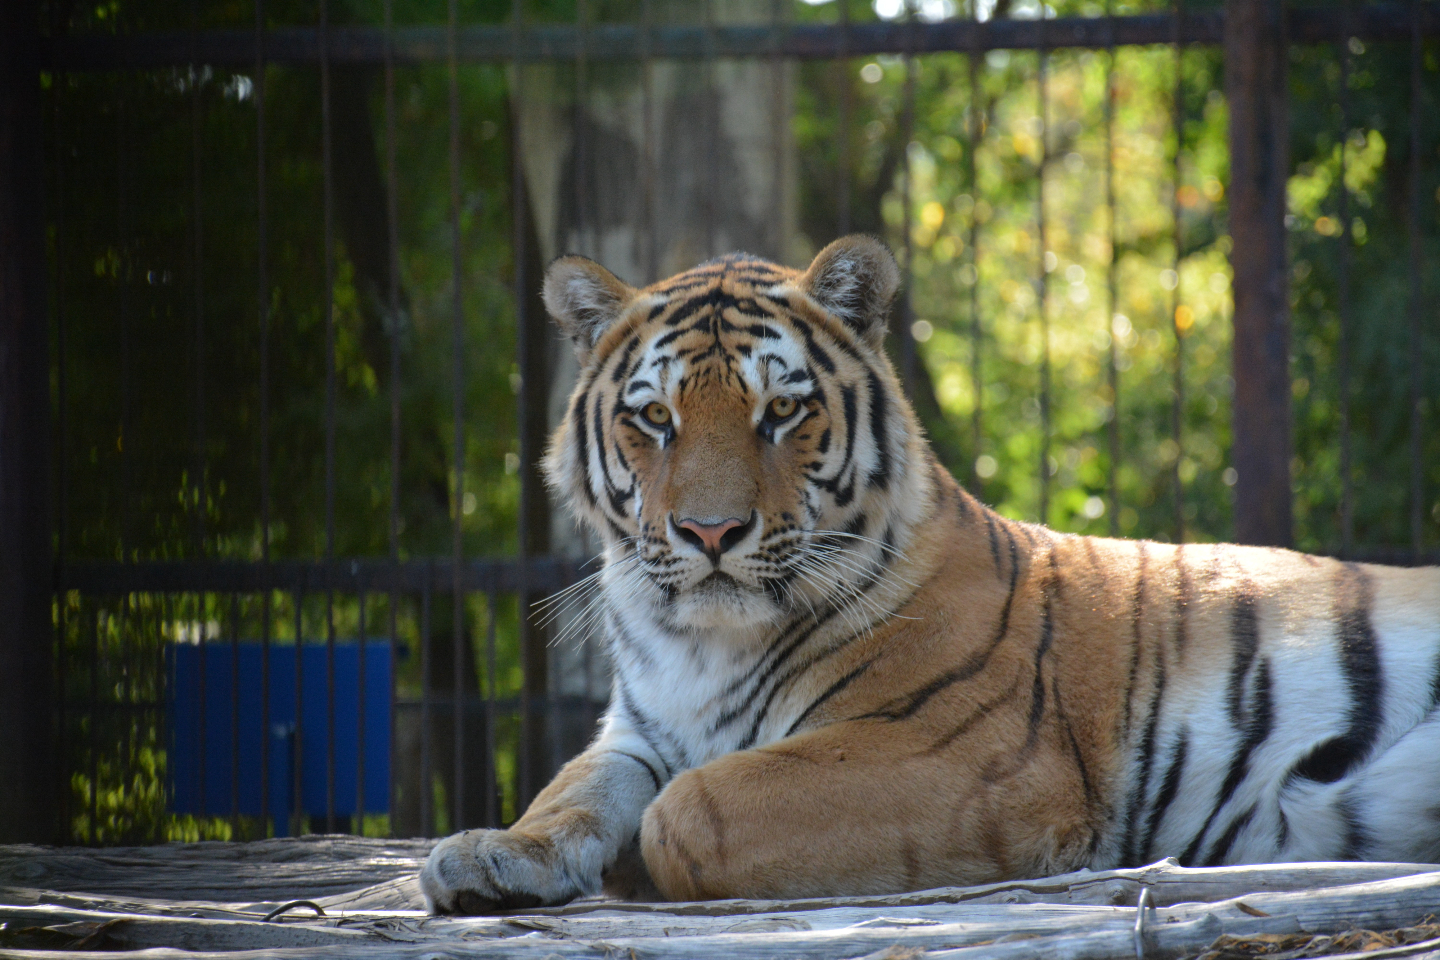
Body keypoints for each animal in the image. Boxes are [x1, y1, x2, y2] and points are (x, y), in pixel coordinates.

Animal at [420, 236, 1440, 915]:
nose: (710, 531)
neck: (700, 644)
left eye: (780, 412)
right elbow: (571, 791)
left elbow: (689, 810)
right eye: (655, 419)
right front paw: (489, 854)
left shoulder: (959, 758)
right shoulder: (637, 733)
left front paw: (629, 861)